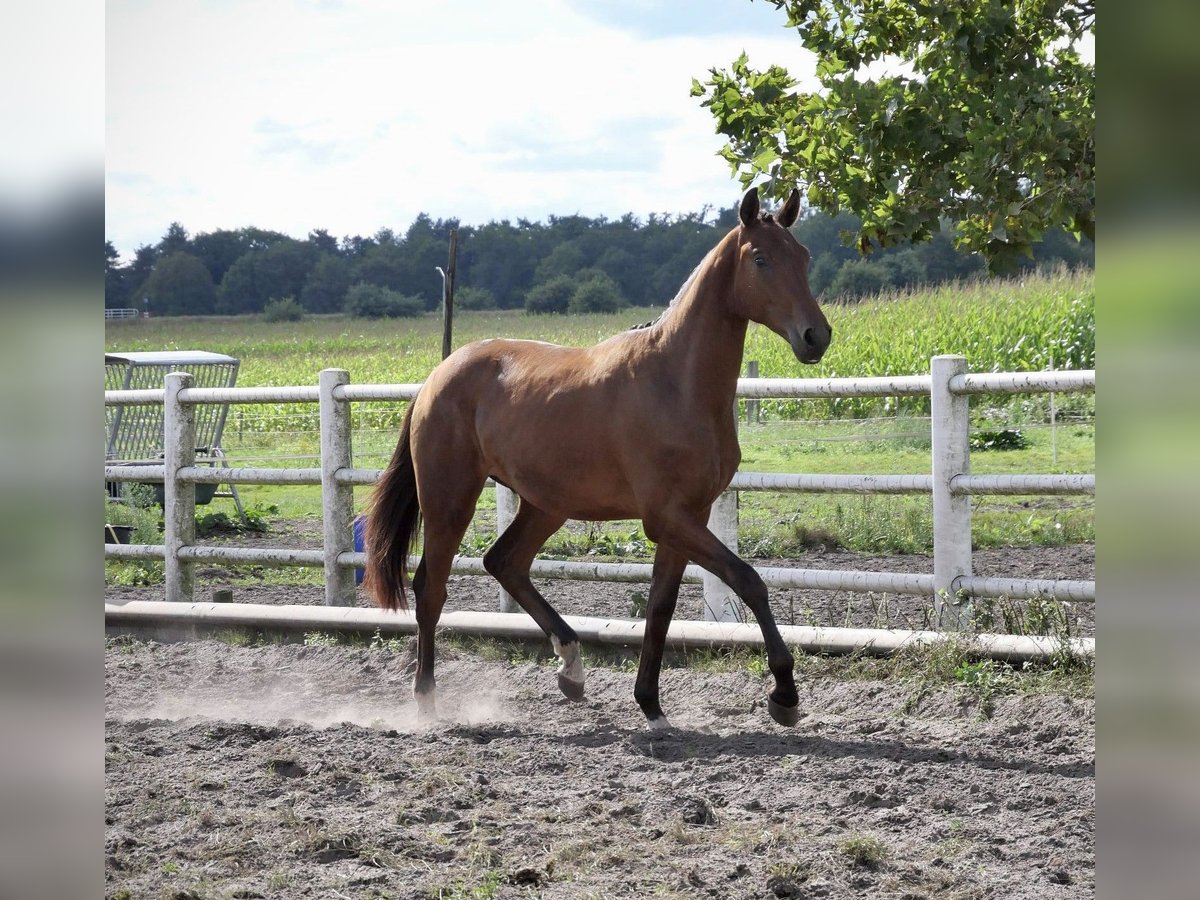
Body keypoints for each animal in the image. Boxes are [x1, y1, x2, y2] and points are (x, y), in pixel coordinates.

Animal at [364, 187, 835, 729]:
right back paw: (426, 700)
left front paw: (651, 706)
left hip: (545, 504)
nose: (815, 336)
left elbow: (660, 608)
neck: (676, 383)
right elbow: (749, 580)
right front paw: (784, 695)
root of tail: (436, 377)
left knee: (504, 562)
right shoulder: (666, 518)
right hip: (450, 500)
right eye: (760, 259)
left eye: (804, 257)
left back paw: (571, 668)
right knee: (431, 589)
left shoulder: (686, 519)